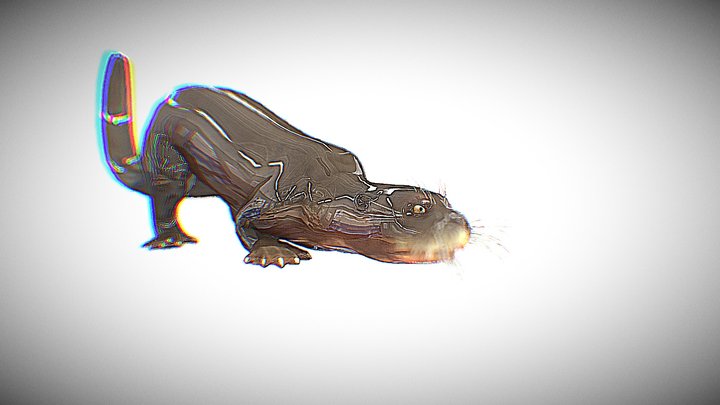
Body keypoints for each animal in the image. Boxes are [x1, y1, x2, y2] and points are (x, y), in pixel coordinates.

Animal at [99, 52, 470, 267]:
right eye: (417, 209)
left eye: (446, 201)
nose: (459, 223)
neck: (329, 191)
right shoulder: (275, 197)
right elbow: (242, 222)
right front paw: (275, 250)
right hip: (166, 149)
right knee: (166, 191)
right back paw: (170, 239)